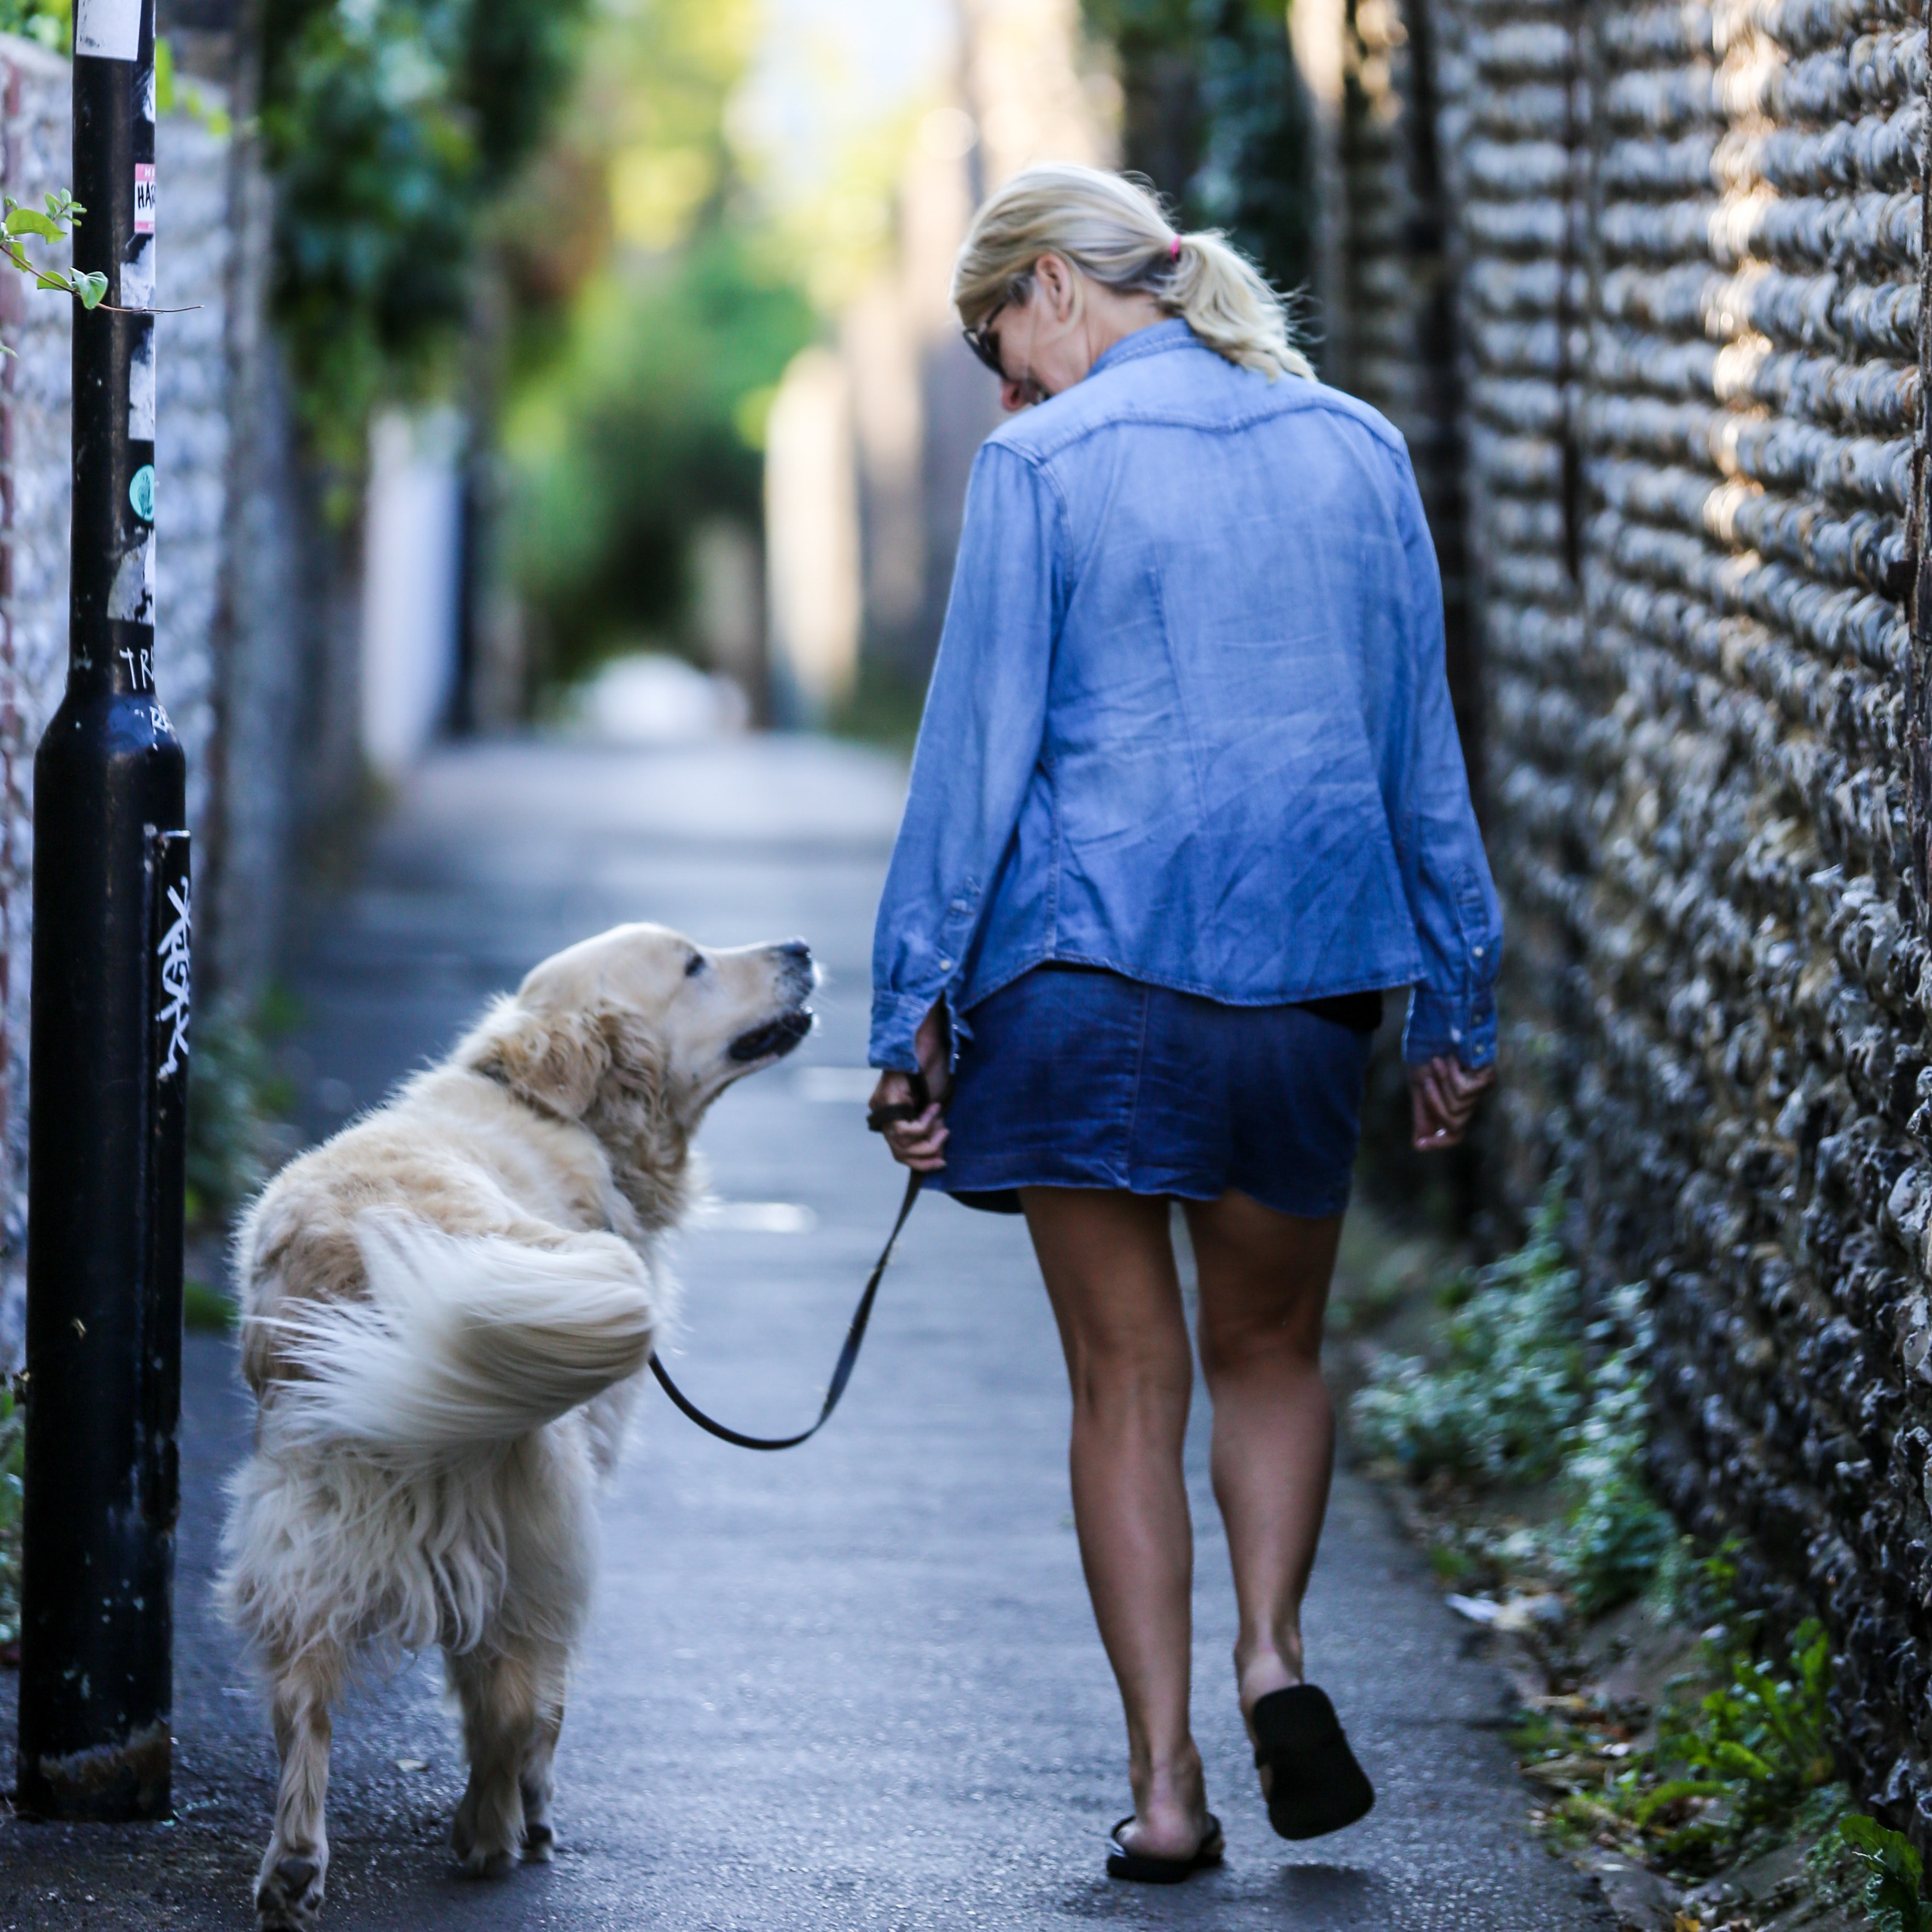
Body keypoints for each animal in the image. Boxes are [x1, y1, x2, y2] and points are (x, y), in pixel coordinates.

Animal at [221, 923, 815, 1932]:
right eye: (693, 963)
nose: (803, 949)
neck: (558, 1109)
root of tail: (371, 1243)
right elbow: (528, 1701)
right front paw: (526, 1810)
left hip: (299, 1529)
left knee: (306, 1702)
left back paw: (295, 1867)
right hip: (536, 1523)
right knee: (515, 1696)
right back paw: (495, 1829)